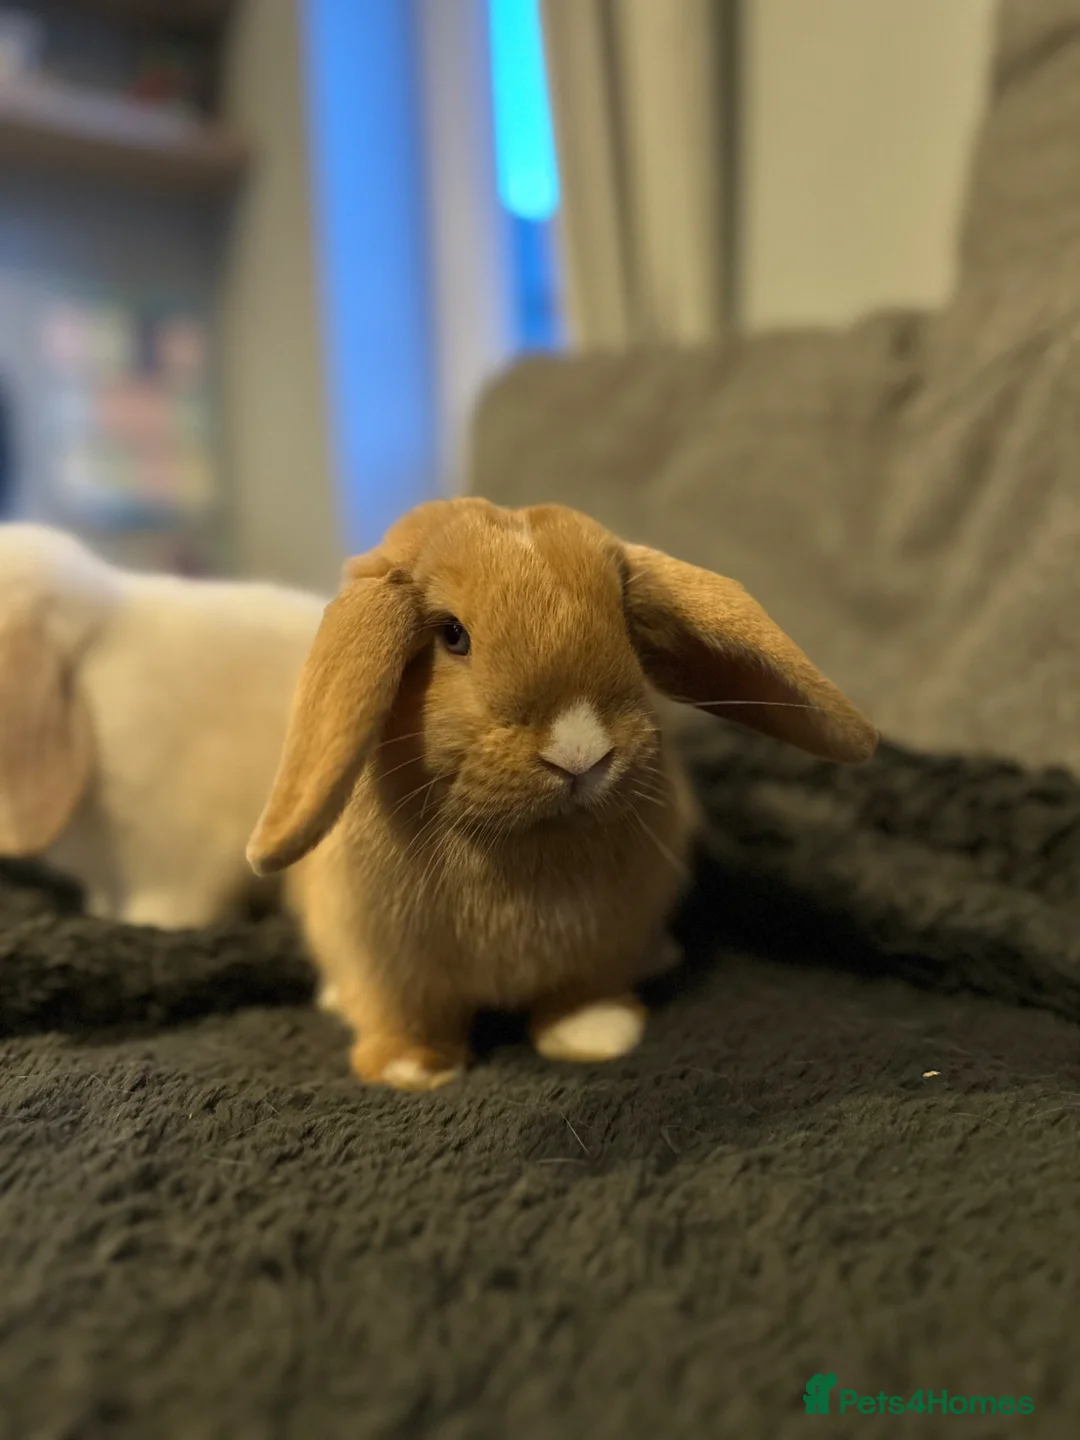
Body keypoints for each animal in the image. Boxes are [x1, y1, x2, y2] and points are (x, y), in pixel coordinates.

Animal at [246, 497, 878, 1092]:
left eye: (625, 624)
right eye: (453, 635)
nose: (580, 752)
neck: (524, 843)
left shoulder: (604, 942)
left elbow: (583, 991)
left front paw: (596, 1034)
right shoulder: (393, 963)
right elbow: (409, 1014)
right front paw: (410, 1069)